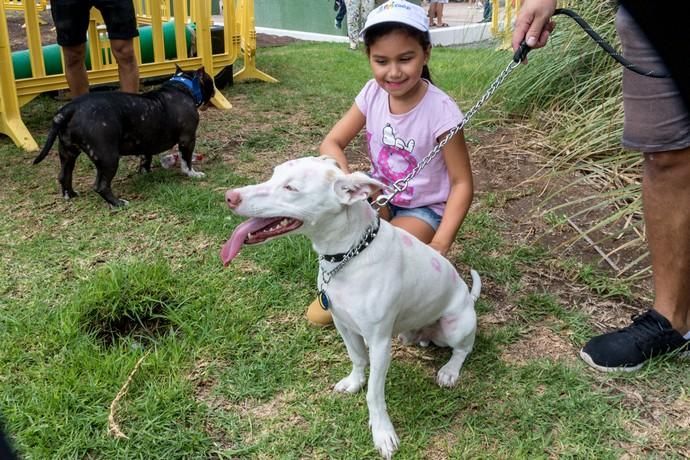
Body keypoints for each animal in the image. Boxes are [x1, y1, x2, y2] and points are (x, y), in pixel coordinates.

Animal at [32, 64, 214, 207]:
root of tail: (70, 109)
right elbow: (186, 160)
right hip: (108, 157)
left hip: (68, 152)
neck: (182, 87)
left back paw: (70, 194)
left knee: (64, 175)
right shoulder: (187, 139)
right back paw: (118, 203)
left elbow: (145, 158)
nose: (214, 89)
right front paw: (192, 174)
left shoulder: (146, 142)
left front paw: (145, 172)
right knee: (101, 185)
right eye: (210, 81)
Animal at [220, 156, 478, 458]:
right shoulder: (343, 324)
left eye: (291, 188)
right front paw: (354, 383)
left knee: (462, 349)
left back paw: (449, 371)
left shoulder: (379, 342)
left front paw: (382, 432)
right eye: (273, 175)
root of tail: (468, 297)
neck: (350, 254)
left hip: (456, 326)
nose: (230, 196)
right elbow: (357, 358)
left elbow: (374, 394)